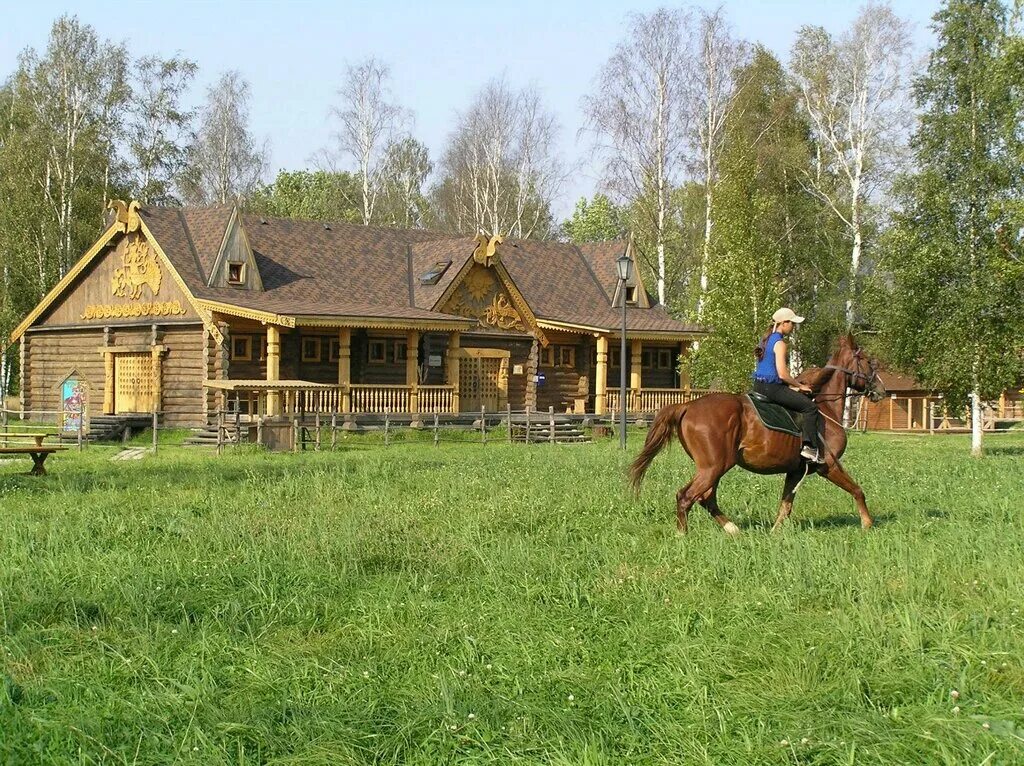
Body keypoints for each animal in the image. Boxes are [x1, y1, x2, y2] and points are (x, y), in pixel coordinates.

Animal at [626, 335, 884, 532]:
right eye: (867, 361)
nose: (880, 390)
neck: (824, 408)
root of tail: (687, 406)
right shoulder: (828, 465)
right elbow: (857, 490)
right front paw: (867, 524)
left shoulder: (795, 470)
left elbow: (786, 505)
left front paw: (775, 533)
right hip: (714, 466)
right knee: (686, 496)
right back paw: (683, 535)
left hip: (713, 467)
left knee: (705, 497)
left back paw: (732, 529)